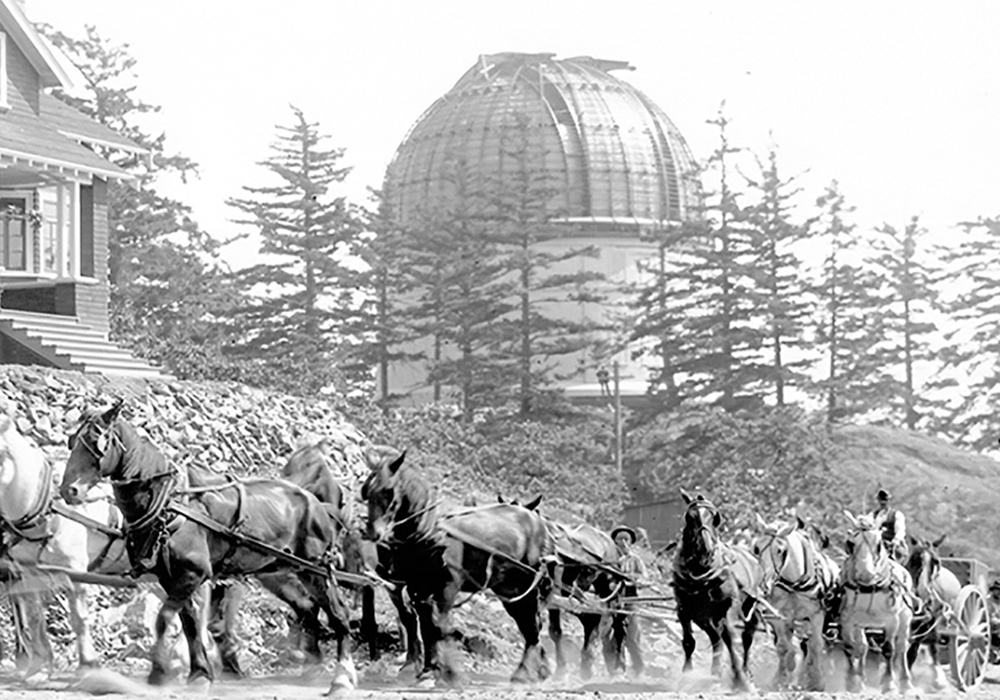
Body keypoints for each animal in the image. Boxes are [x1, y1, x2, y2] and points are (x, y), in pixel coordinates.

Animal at [57, 400, 356, 688]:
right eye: (72, 441)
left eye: (98, 442)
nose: (69, 490)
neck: (167, 505)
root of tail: (319, 505)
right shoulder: (171, 577)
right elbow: (188, 623)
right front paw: (199, 671)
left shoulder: (193, 573)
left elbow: (165, 618)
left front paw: (159, 672)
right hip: (281, 569)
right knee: (308, 610)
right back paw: (312, 666)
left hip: (316, 571)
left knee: (338, 615)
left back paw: (342, 676)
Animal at [362, 448, 552, 684]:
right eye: (366, 491)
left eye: (388, 491)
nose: (373, 534)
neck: (428, 530)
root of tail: (535, 520)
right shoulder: (417, 587)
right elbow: (425, 627)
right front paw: (427, 668)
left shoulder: (448, 584)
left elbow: (439, 627)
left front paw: (449, 672)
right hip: (509, 590)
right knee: (528, 624)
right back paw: (536, 670)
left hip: (527, 586)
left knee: (532, 625)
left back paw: (525, 672)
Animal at [672, 490, 764, 692]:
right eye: (689, 518)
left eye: (715, 518)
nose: (705, 550)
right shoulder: (684, 610)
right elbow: (689, 642)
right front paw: (686, 675)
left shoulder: (728, 607)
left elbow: (730, 637)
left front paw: (739, 677)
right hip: (704, 617)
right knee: (716, 638)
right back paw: (716, 673)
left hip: (746, 609)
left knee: (745, 636)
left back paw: (744, 672)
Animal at [752, 516, 840, 688]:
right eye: (756, 548)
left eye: (780, 550)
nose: (762, 585)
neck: (794, 584)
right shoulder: (778, 617)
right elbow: (783, 647)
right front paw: (781, 677)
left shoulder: (817, 615)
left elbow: (816, 645)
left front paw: (817, 681)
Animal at [840, 512, 912, 692]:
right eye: (851, 543)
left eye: (879, 544)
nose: (866, 575)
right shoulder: (847, 620)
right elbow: (850, 647)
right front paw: (853, 681)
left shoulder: (892, 620)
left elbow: (888, 649)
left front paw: (888, 683)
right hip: (861, 624)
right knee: (862, 646)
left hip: (905, 619)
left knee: (902, 646)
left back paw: (905, 683)